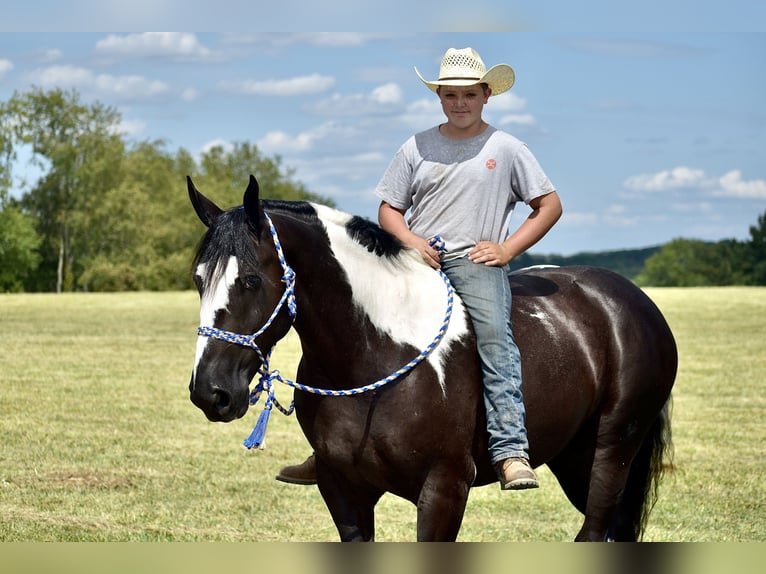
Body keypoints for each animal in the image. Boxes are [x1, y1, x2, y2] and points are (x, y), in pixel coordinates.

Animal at [186, 176, 680, 544]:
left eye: (251, 280)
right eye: (198, 279)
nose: (210, 392)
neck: (376, 353)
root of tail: (633, 301)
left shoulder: (445, 488)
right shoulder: (342, 489)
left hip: (612, 449)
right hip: (574, 456)